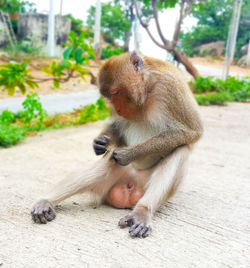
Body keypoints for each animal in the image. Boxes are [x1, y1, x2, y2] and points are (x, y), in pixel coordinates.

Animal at [31, 52, 203, 239]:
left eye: (115, 92)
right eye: (109, 97)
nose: (118, 109)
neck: (147, 90)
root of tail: (132, 186)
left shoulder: (171, 87)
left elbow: (191, 131)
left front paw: (129, 154)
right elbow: (116, 126)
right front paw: (100, 142)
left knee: (181, 149)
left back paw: (142, 212)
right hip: (111, 183)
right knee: (107, 164)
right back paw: (46, 202)